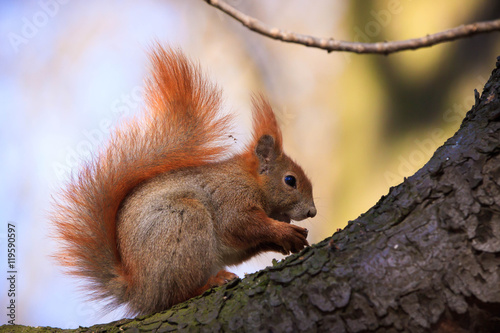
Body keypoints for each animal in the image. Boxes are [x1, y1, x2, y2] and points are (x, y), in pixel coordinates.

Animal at [51, 44, 316, 314]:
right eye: (290, 181)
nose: (312, 211)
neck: (250, 180)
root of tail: (139, 292)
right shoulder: (231, 197)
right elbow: (240, 224)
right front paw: (284, 231)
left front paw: (286, 241)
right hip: (185, 222)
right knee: (175, 295)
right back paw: (210, 282)